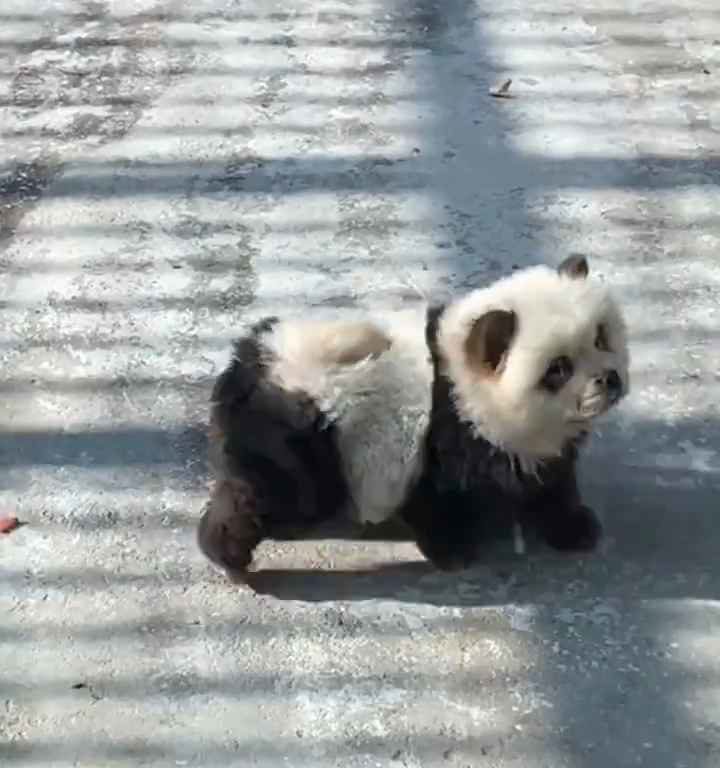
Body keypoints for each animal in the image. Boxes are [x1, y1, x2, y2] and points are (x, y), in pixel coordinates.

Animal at [198, 258, 632, 576]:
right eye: (558, 369)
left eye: (601, 337)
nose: (609, 379)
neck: (464, 385)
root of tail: (249, 359)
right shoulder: (436, 440)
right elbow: (433, 496)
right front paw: (454, 549)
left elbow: (551, 481)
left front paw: (574, 527)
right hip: (297, 431)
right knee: (273, 491)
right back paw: (230, 551)